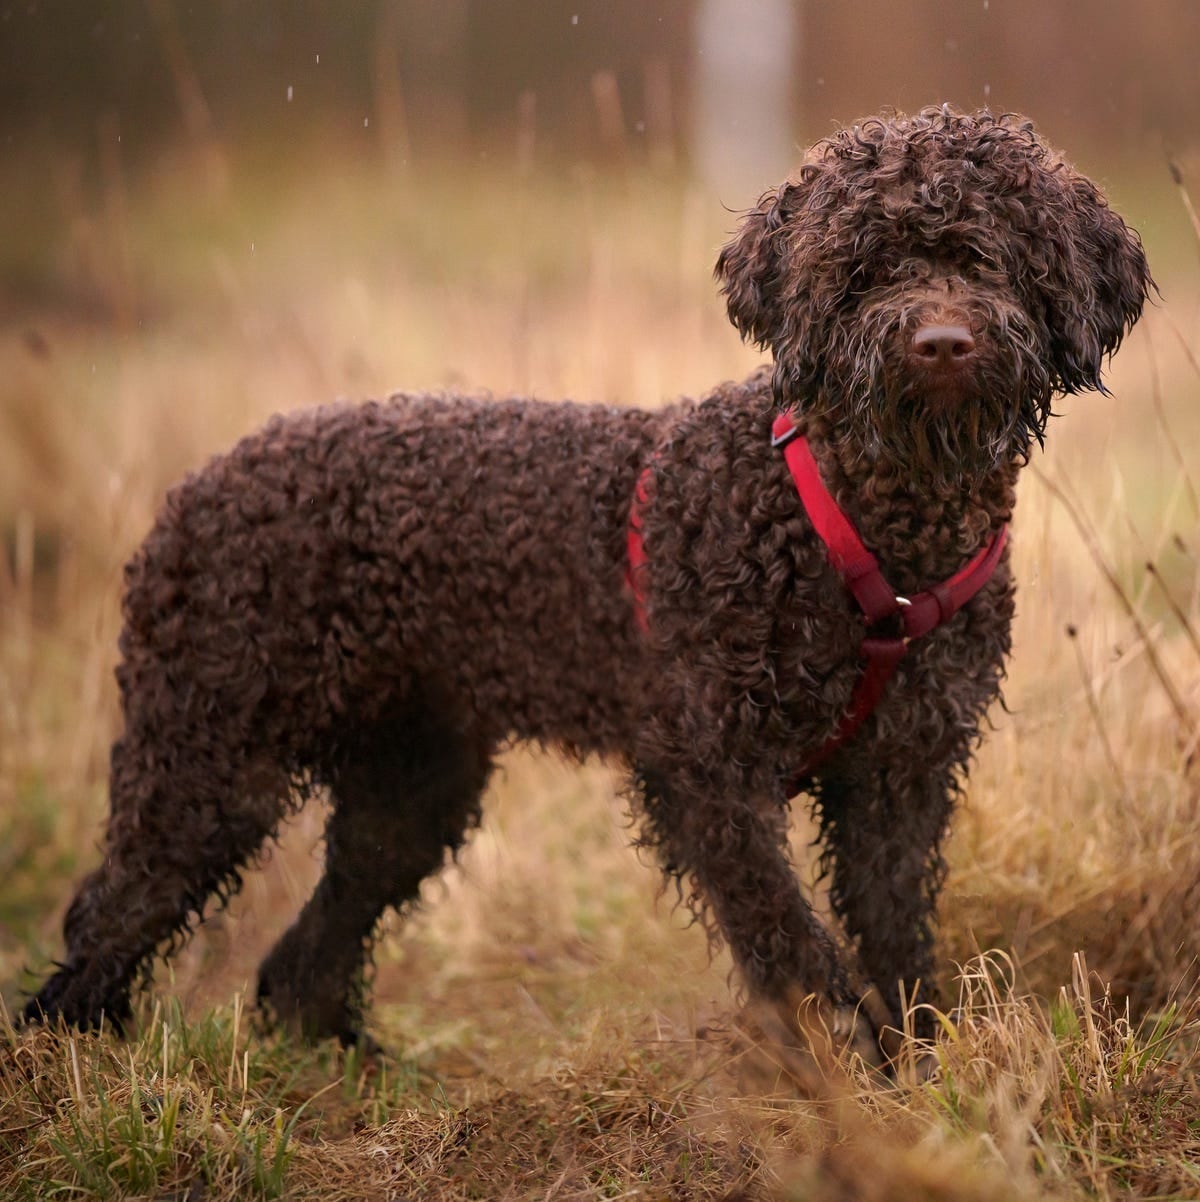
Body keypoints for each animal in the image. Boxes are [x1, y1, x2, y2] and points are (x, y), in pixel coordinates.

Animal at [25, 105, 1154, 1062]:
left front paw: (924, 1067)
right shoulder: (707, 774)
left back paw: (347, 1062)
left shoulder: (900, 775)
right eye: (863, 267)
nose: (941, 343)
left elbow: (895, 937)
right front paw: (845, 1063)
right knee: (110, 916)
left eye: (991, 255)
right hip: (214, 752)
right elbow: (792, 943)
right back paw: (75, 1062)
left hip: (411, 779)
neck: (864, 529)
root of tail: (191, 491)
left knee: (304, 953)